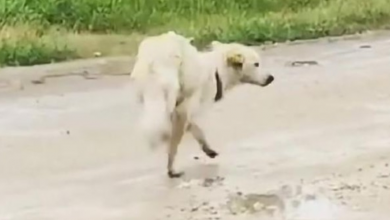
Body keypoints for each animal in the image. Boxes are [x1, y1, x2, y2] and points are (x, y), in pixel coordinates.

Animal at [129, 31, 272, 179]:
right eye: (256, 64)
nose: (271, 78)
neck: (217, 70)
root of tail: (153, 58)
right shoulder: (187, 110)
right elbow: (183, 136)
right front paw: (172, 166)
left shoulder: (183, 112)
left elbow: (195, 130)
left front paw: (208, 149)